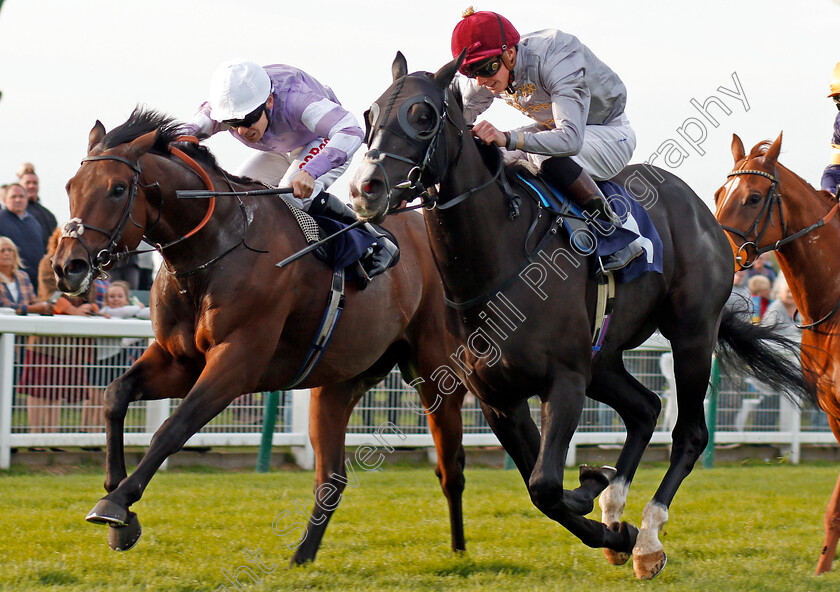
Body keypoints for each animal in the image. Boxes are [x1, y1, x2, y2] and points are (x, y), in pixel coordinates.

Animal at [51, 110, 470, 564]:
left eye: (118, 188)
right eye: (71, 187)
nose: (67, 266)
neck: (213, 250)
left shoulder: (238, 362)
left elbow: (173, 429)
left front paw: (117, 505)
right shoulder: (178, 361)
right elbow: (115, 395)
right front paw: (119, 502)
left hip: (435, 374)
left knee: (451, 466)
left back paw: (460, 550)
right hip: (339, 382)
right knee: (332, 477)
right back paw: (301, 557)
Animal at [348, 53, 812, 580]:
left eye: (423, 115)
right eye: (370, 113)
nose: (364, 189)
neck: (500, 262)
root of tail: (707, 215)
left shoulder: (565, 381)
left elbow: (546, 484)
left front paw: (600, 494)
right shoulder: (497, 398)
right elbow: (540, 487)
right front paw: (605, 511)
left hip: (692, 335)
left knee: (689, 432)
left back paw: (648, 537)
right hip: (603, 358)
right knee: (644, 408)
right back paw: (618, 509)